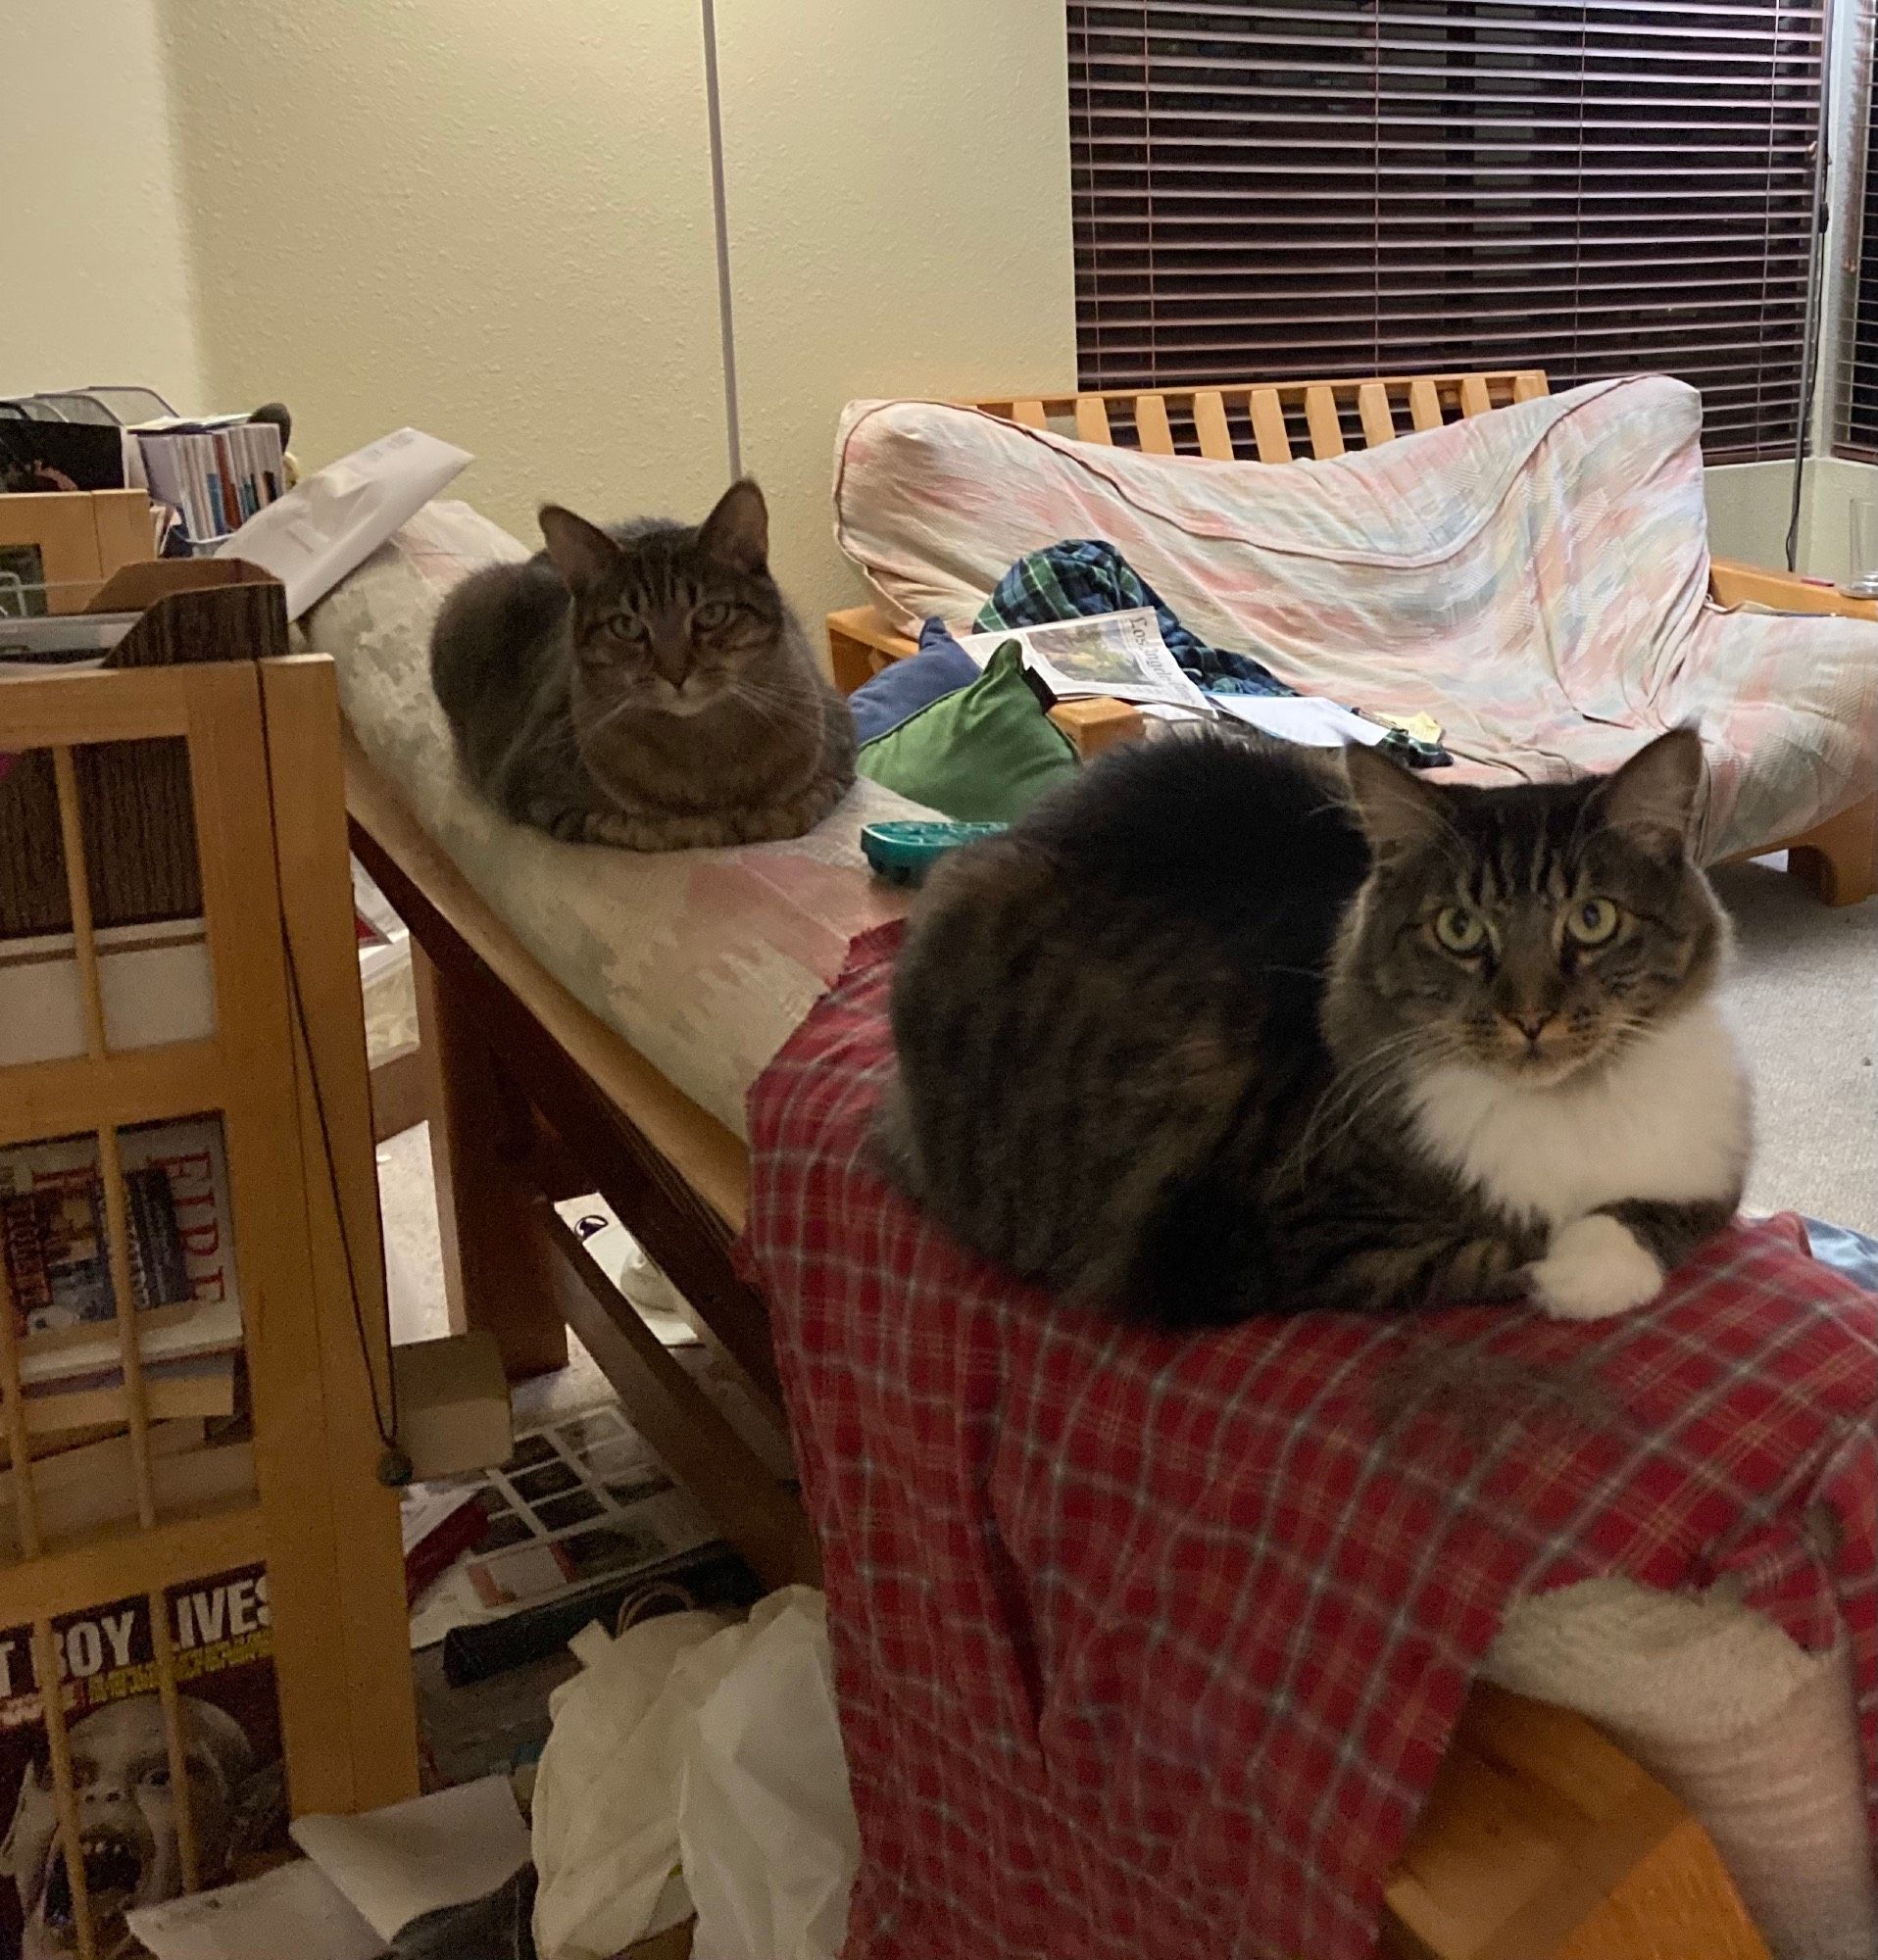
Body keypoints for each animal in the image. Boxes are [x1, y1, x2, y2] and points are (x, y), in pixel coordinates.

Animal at [429, 482, 855, 851]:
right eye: (626, 626)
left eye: (712, 614)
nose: (675, 673)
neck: (704, 752)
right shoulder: (533, 788)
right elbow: (657, 828)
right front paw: (710, 824)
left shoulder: (838, 746)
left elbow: (795, 810)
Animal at [878, 729, 1749, 1325]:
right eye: (1460, 929)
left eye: (1594, 920)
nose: (1529, 1017)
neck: (1570, 1104)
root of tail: (1031, 820)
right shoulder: (1272, 1238)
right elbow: (1500, 1248)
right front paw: (1581, 1274)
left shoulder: (1716, 1160)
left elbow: (1683, 1211)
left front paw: (1608, 1252)